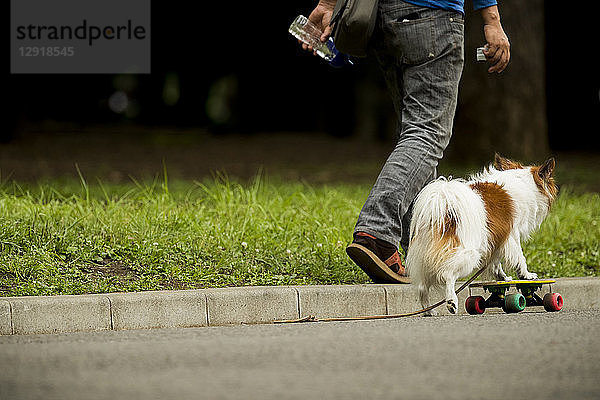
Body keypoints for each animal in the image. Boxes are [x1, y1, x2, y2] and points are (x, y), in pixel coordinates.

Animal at [408, 155, 556, 314]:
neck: (523, 183)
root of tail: (444, 206)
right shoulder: (511, 235)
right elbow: (520, 258)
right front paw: (527, 275)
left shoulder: (496, 240)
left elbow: (495, 264)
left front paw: (503, 278)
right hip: (469, 254)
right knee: (447, 274)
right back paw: (451, 302)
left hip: (424, 258)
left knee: (422, 287)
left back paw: (429, 311)